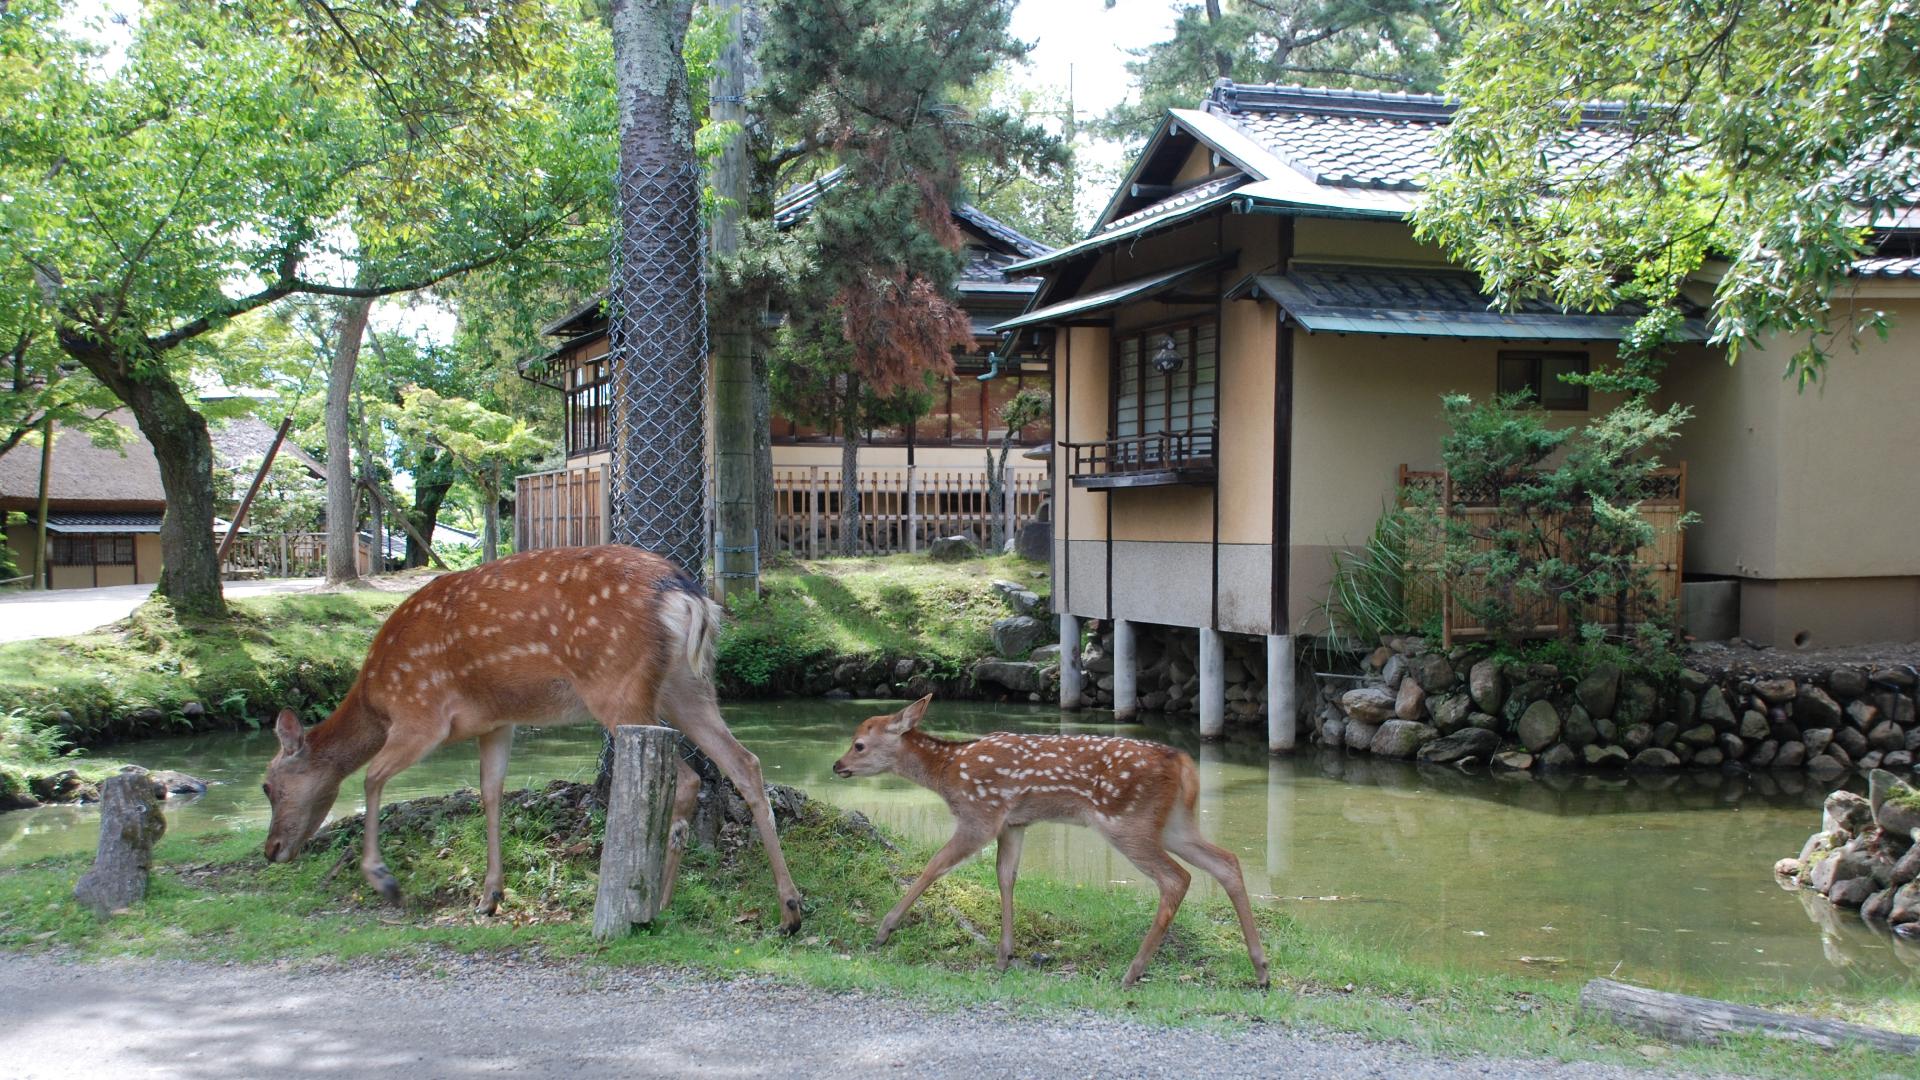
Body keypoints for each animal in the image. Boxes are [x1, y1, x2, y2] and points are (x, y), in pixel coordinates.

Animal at [261, 541, 802, 930]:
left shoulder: (421, 713)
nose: (271, 850)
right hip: (687, 687)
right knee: (745, 763)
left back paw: (662, 905)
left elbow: (371, 778)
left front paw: (384, 881)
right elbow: (491, 792)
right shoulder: (496, 722)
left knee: (689, 778)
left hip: (618, 686)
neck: (376, 696)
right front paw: (489, 897)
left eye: (268, 785)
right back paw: (786, 909)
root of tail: (687, 594)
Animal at [833, 687, 1267, 983]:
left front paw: (884, 930)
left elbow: (934, 866)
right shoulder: (1014, 823)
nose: (837, 765)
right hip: (1175, 822)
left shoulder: (980, 814)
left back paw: (1133, 971)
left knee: (1176, 878)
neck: (947, 773)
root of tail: (1182, 762)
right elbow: (1006, 877)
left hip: (1126, 820)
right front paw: (1004, 956)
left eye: (859, 744)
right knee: (1227, 861)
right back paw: (1261, 969)